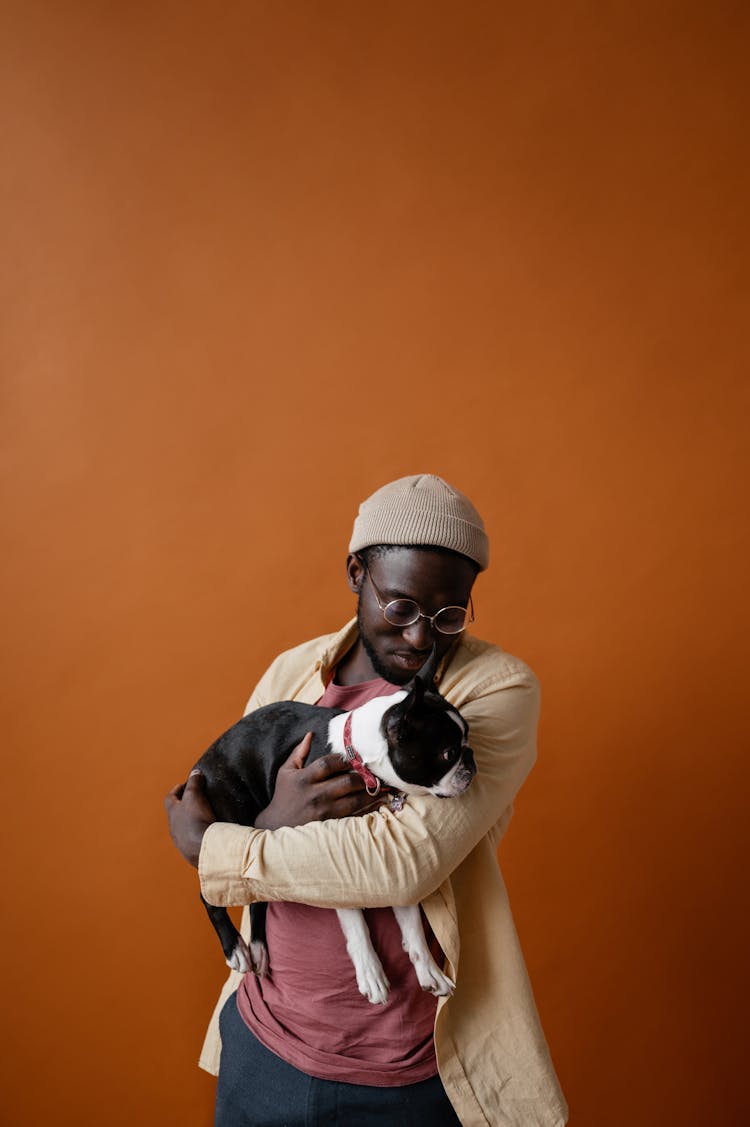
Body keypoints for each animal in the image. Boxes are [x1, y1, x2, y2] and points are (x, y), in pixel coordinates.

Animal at [191, 649, 473, 1009]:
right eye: (448, 753)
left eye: (467, 739)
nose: (471, 758)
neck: (359, 757)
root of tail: (204, 761)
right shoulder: (333, 856)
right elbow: (356, 923)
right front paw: (370, 973)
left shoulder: (391, 868)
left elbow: (411, 924)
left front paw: (428, 971)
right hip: (231, 820)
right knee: (212, 892)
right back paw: (236, 949)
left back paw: (259, 947)